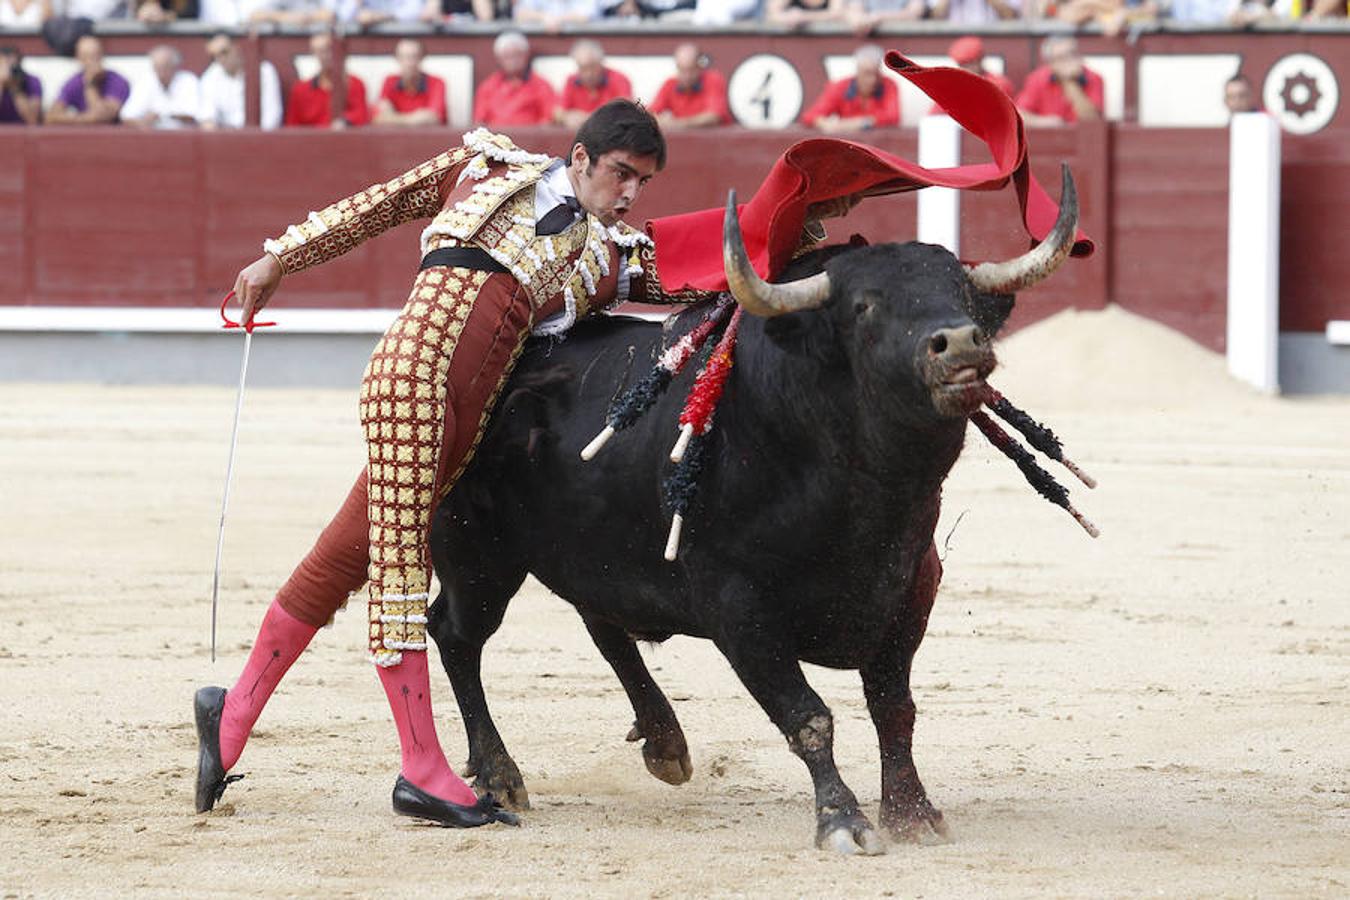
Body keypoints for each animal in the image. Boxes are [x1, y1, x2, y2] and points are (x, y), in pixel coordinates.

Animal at [421, 179, 1074, 858]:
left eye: (962, 295)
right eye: (864, 308)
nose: (961, 343)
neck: (868, 494)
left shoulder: (910, 591)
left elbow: (894, 708)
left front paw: (913, 812)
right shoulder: (738, 609)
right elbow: (808, 716)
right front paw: (842, 820)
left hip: (589, 549)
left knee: (600, 622)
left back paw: (665, 744)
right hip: (476, 557)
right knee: (457, 635)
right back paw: (498, 776)